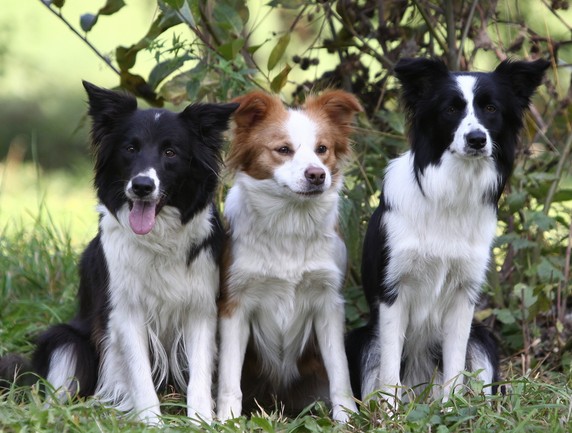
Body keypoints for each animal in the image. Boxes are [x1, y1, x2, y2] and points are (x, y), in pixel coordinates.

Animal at [30, 82, 237, 422]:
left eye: (170, 152)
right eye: (130, 149)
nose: (141, 186)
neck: (158, 238)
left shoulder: (201, 307)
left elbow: (200, 375)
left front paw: (202, 421)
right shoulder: (125, 312)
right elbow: (139, 375)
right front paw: (152, 422)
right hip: (65, 339)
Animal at [346, 57, 548, 404]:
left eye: (491, 108)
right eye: (451, 109)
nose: (477, 139)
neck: (451, 193)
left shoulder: (462, 296)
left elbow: (454, 367)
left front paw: (452, 409)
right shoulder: (392, 293)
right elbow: (389, 371)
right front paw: (390, 413)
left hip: (483, 339)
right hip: (362, 340)